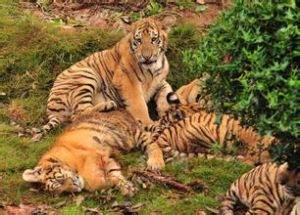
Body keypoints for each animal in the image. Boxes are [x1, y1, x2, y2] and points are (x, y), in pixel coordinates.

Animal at [22, 107, 164, 195]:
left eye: (60, 180)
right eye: (62, 190)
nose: (77, 188)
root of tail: (121, 109)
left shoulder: (91, 156)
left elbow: (93, 182)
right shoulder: (106, 158)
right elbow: (115, 172)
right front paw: (126, 187)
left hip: (134, 133)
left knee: (152, 144)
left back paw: (156, 163)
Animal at [33, 17, 173, 140]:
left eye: (154, 39)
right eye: (138, 40)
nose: (147, 57)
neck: (153, 68)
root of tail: (50, 111)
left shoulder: (160, 81)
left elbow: (167, 92)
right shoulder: (127, 82)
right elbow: (139, 104)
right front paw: (149, 124)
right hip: (87, 74)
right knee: (78, 114)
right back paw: (108, 105)